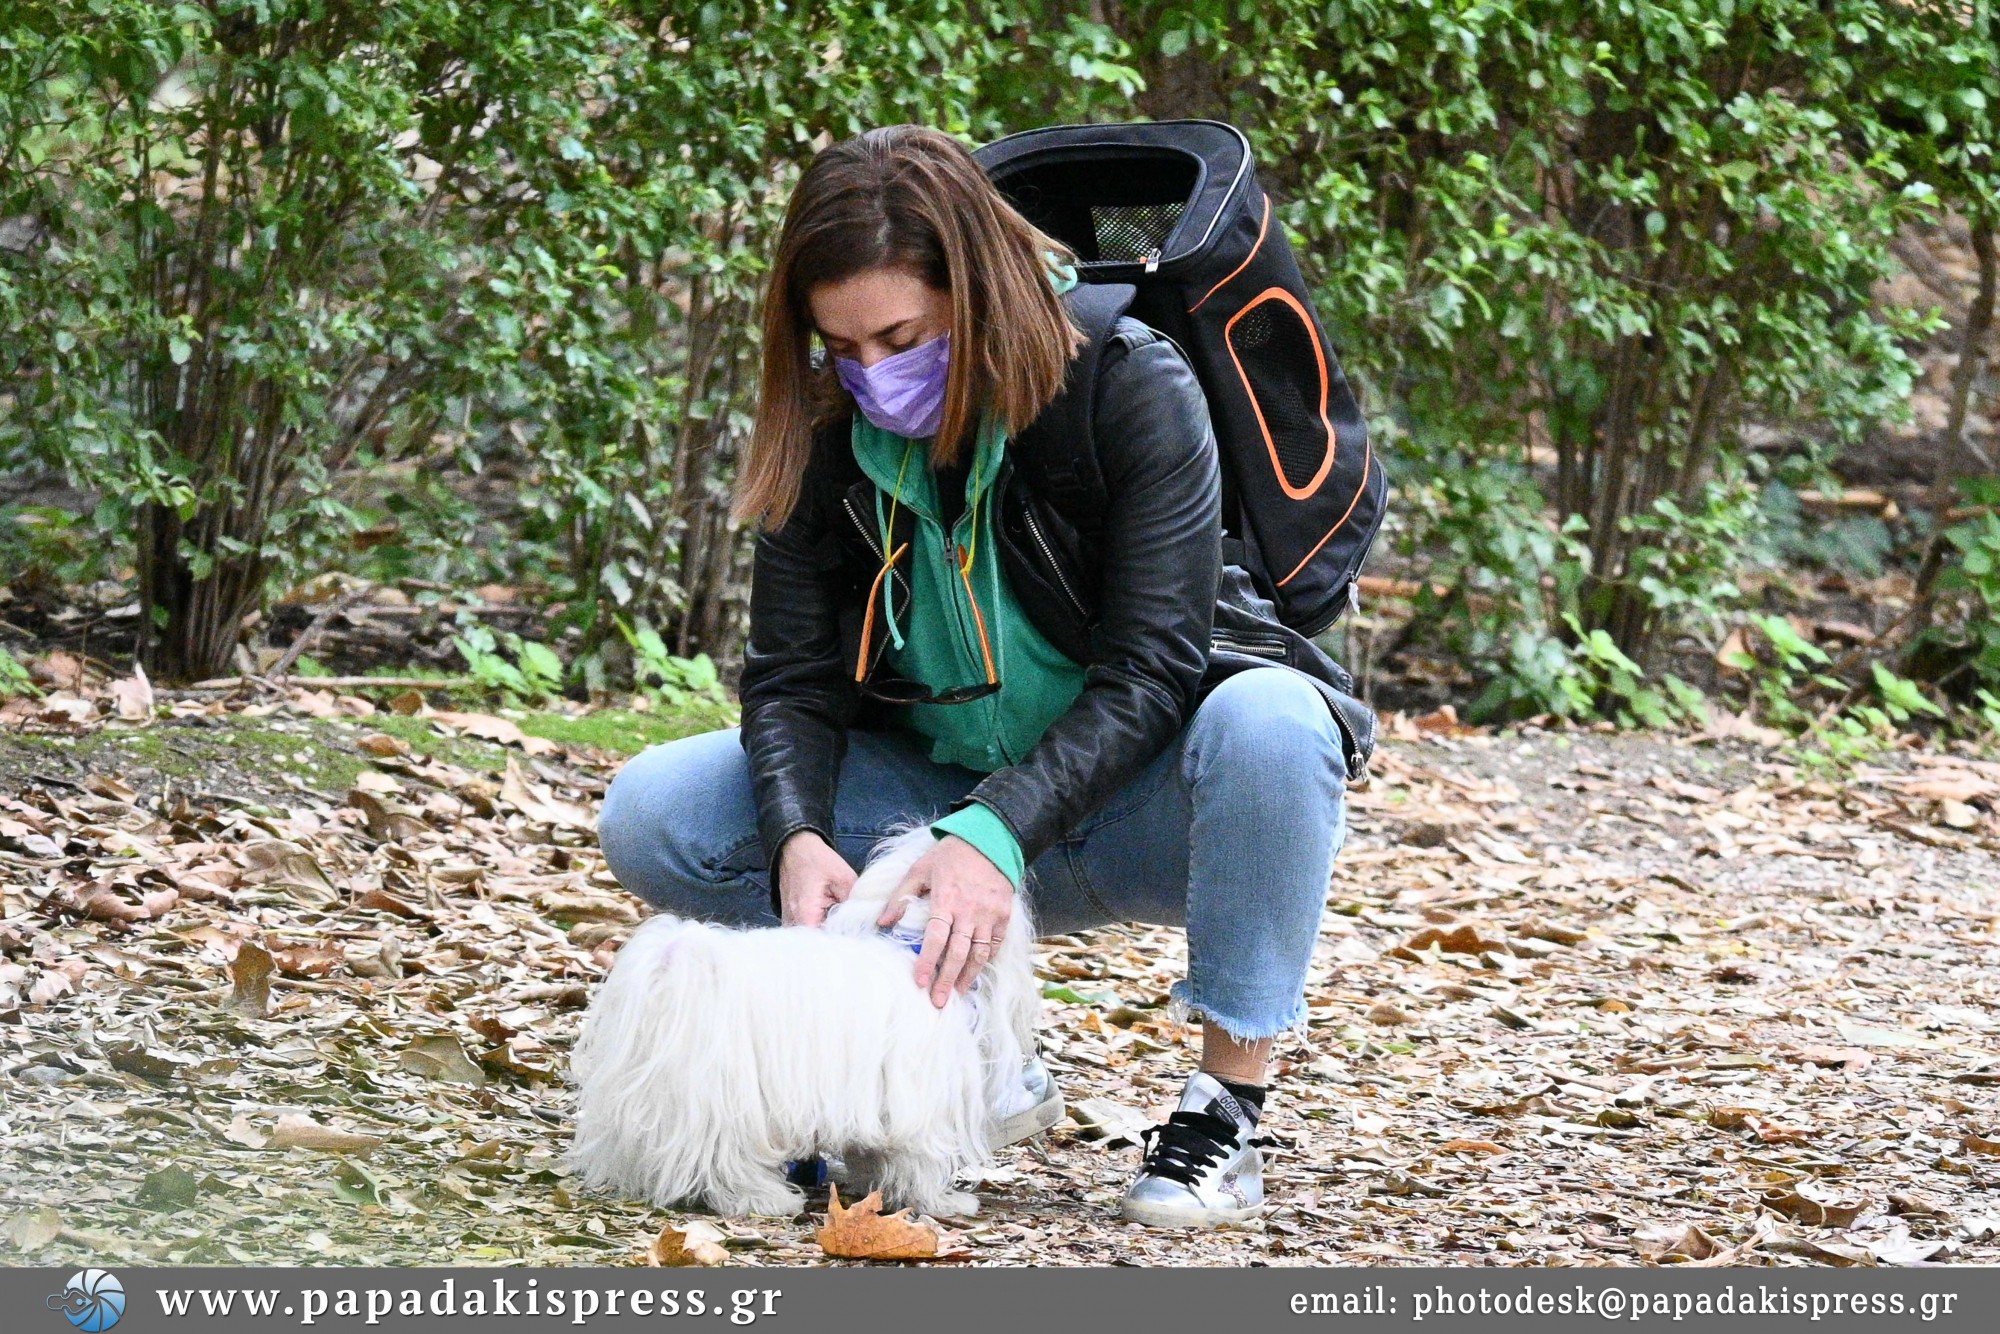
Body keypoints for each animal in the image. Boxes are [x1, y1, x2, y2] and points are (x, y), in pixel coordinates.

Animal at [560, 824, 1032, 1224]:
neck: (912, 948)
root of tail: (679, 971)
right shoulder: (916, 1100)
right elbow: (919, 1160)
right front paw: (943, 1201)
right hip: (730, 1100)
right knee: (724, 1160)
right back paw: (767, 1199)